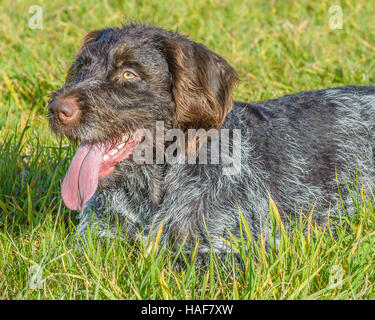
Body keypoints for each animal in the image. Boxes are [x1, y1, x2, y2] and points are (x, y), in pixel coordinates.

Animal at [48, 23, 375, 256]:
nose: (56, 109)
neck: (150, 192)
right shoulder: (95, 237)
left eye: (129, 74)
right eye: (82, 67)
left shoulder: (224, 252)